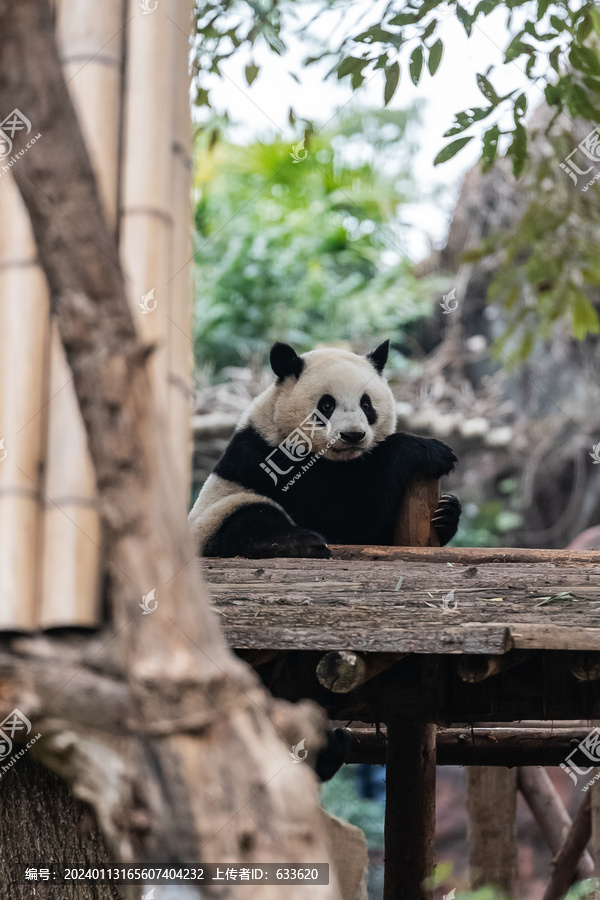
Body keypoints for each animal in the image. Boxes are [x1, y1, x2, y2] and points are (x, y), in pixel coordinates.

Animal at [190, 342, 462, 560]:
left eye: (366, 405)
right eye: (327, 405)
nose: (353, 435)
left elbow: (371, 533)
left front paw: (446, 513)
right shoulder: (268, 459)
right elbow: (344, 509)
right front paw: (429, 451)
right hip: (214, 515)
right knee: (248, 519)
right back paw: (298, 544)